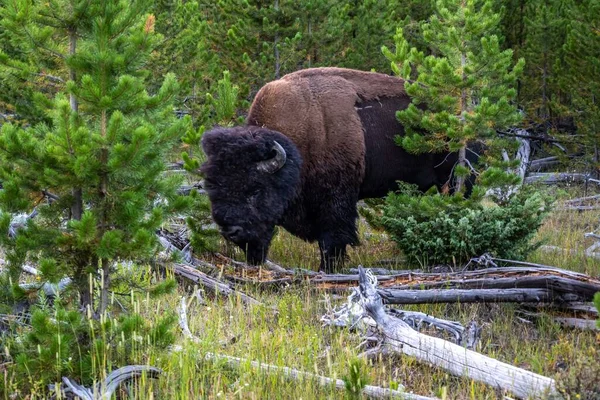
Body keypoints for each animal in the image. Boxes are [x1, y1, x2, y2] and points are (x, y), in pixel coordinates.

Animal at [200, 68, 468, 272]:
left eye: (255, 190)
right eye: (212, 190)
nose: (230, 230)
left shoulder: (336, 203)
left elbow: (332, 241)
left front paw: (327, 271)